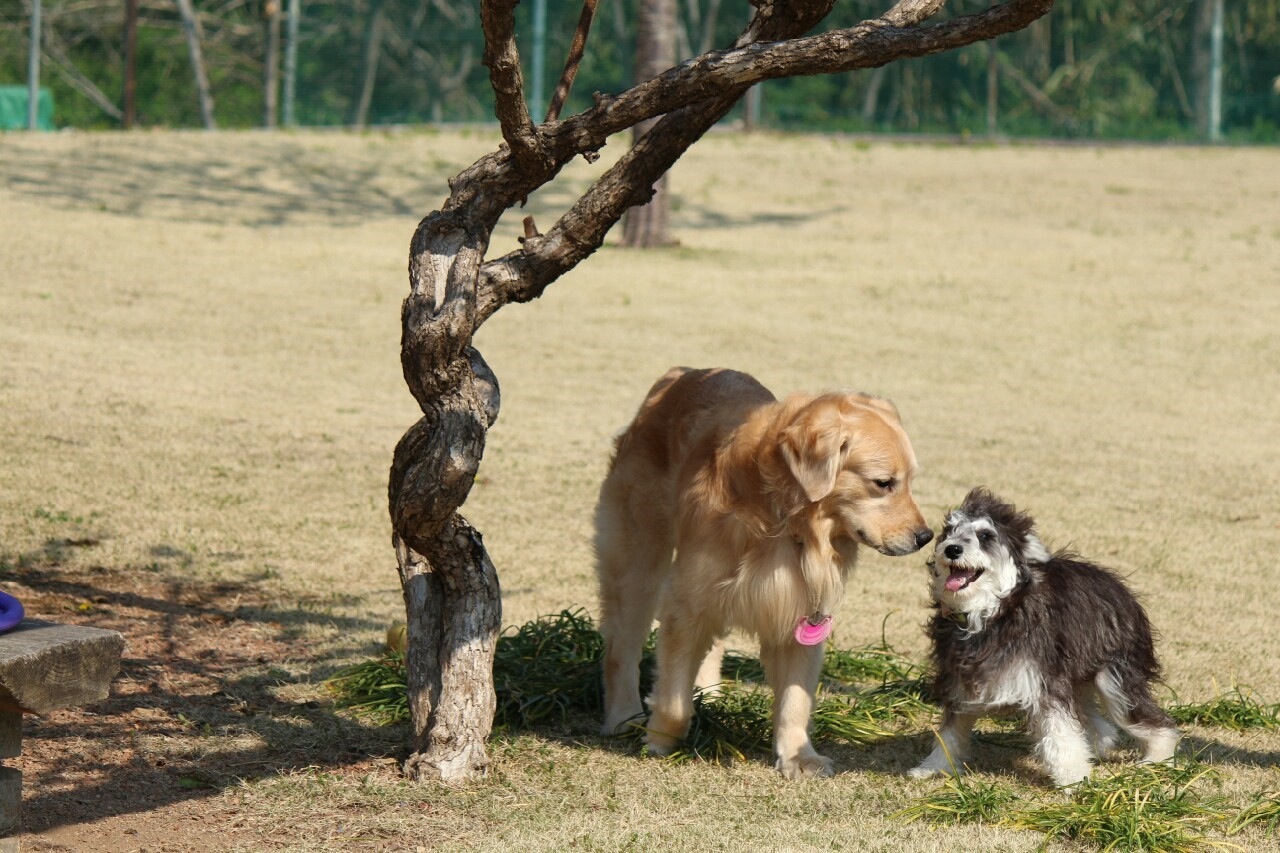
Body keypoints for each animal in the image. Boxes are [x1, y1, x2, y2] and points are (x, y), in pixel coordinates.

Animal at [911, 484, 1177, 783]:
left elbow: (1060, 732)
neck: (993, 612)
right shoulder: (959, 683)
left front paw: (1073, 777)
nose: (952, 549)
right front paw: (933, 767)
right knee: (1101, 726)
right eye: (949, 531)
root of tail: (1121, 589)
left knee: (1154, 722)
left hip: (1116, 680)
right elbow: (950, 732)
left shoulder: (1044, 683)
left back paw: (1157, 758)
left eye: (985, 536)